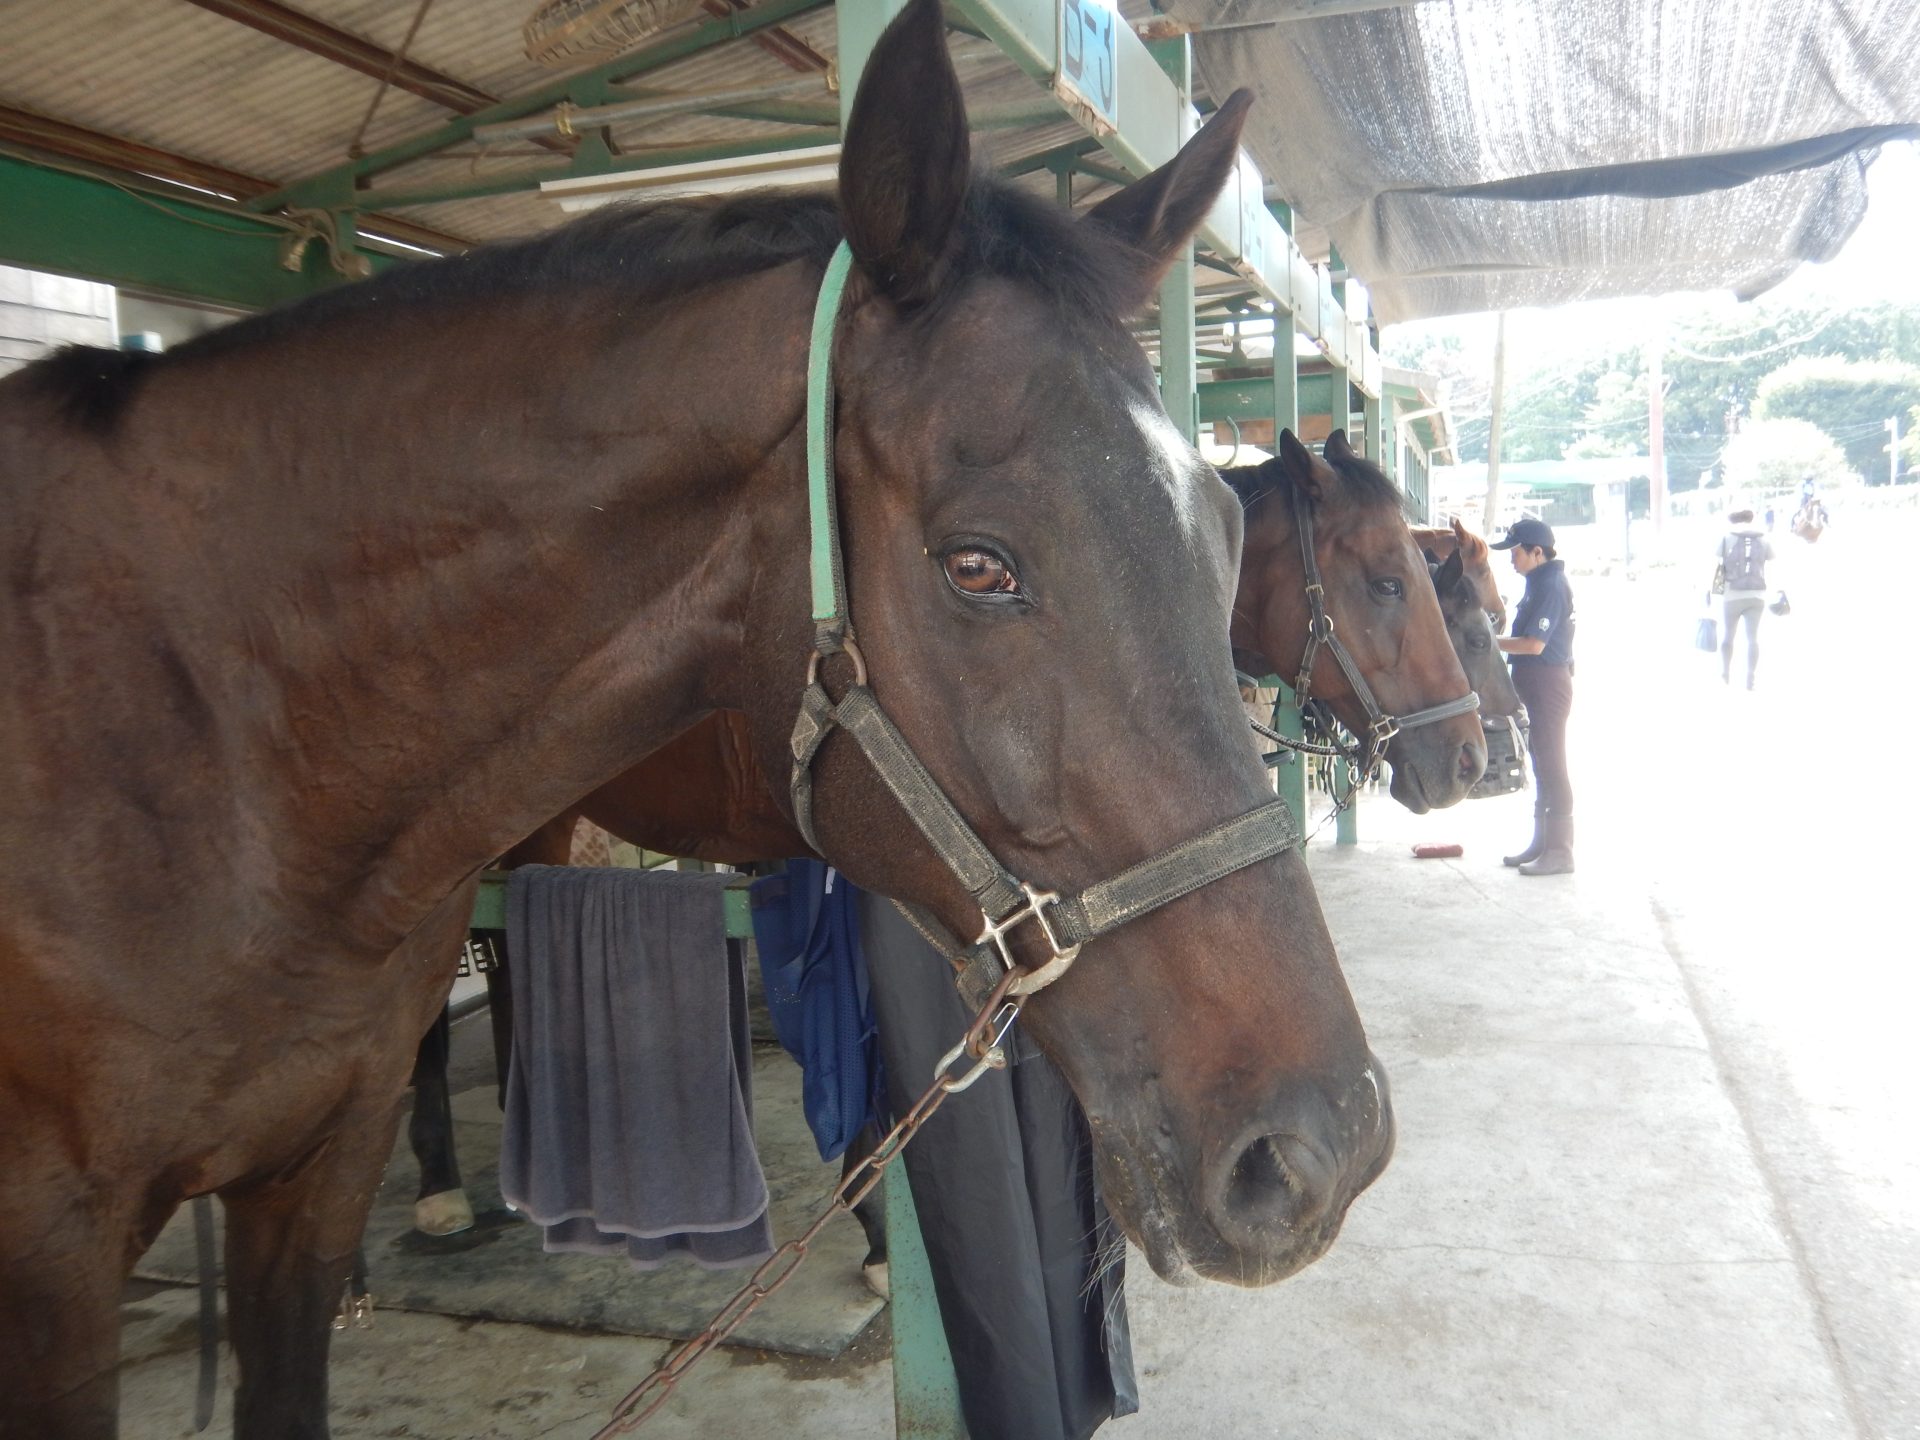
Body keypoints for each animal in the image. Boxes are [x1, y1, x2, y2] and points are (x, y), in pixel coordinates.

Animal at [7, 5, 1405, 1436]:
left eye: (1224, 536)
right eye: (977, 566)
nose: (1320, 1147)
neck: (206, 731)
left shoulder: (311, 1177)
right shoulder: (53, 1259)